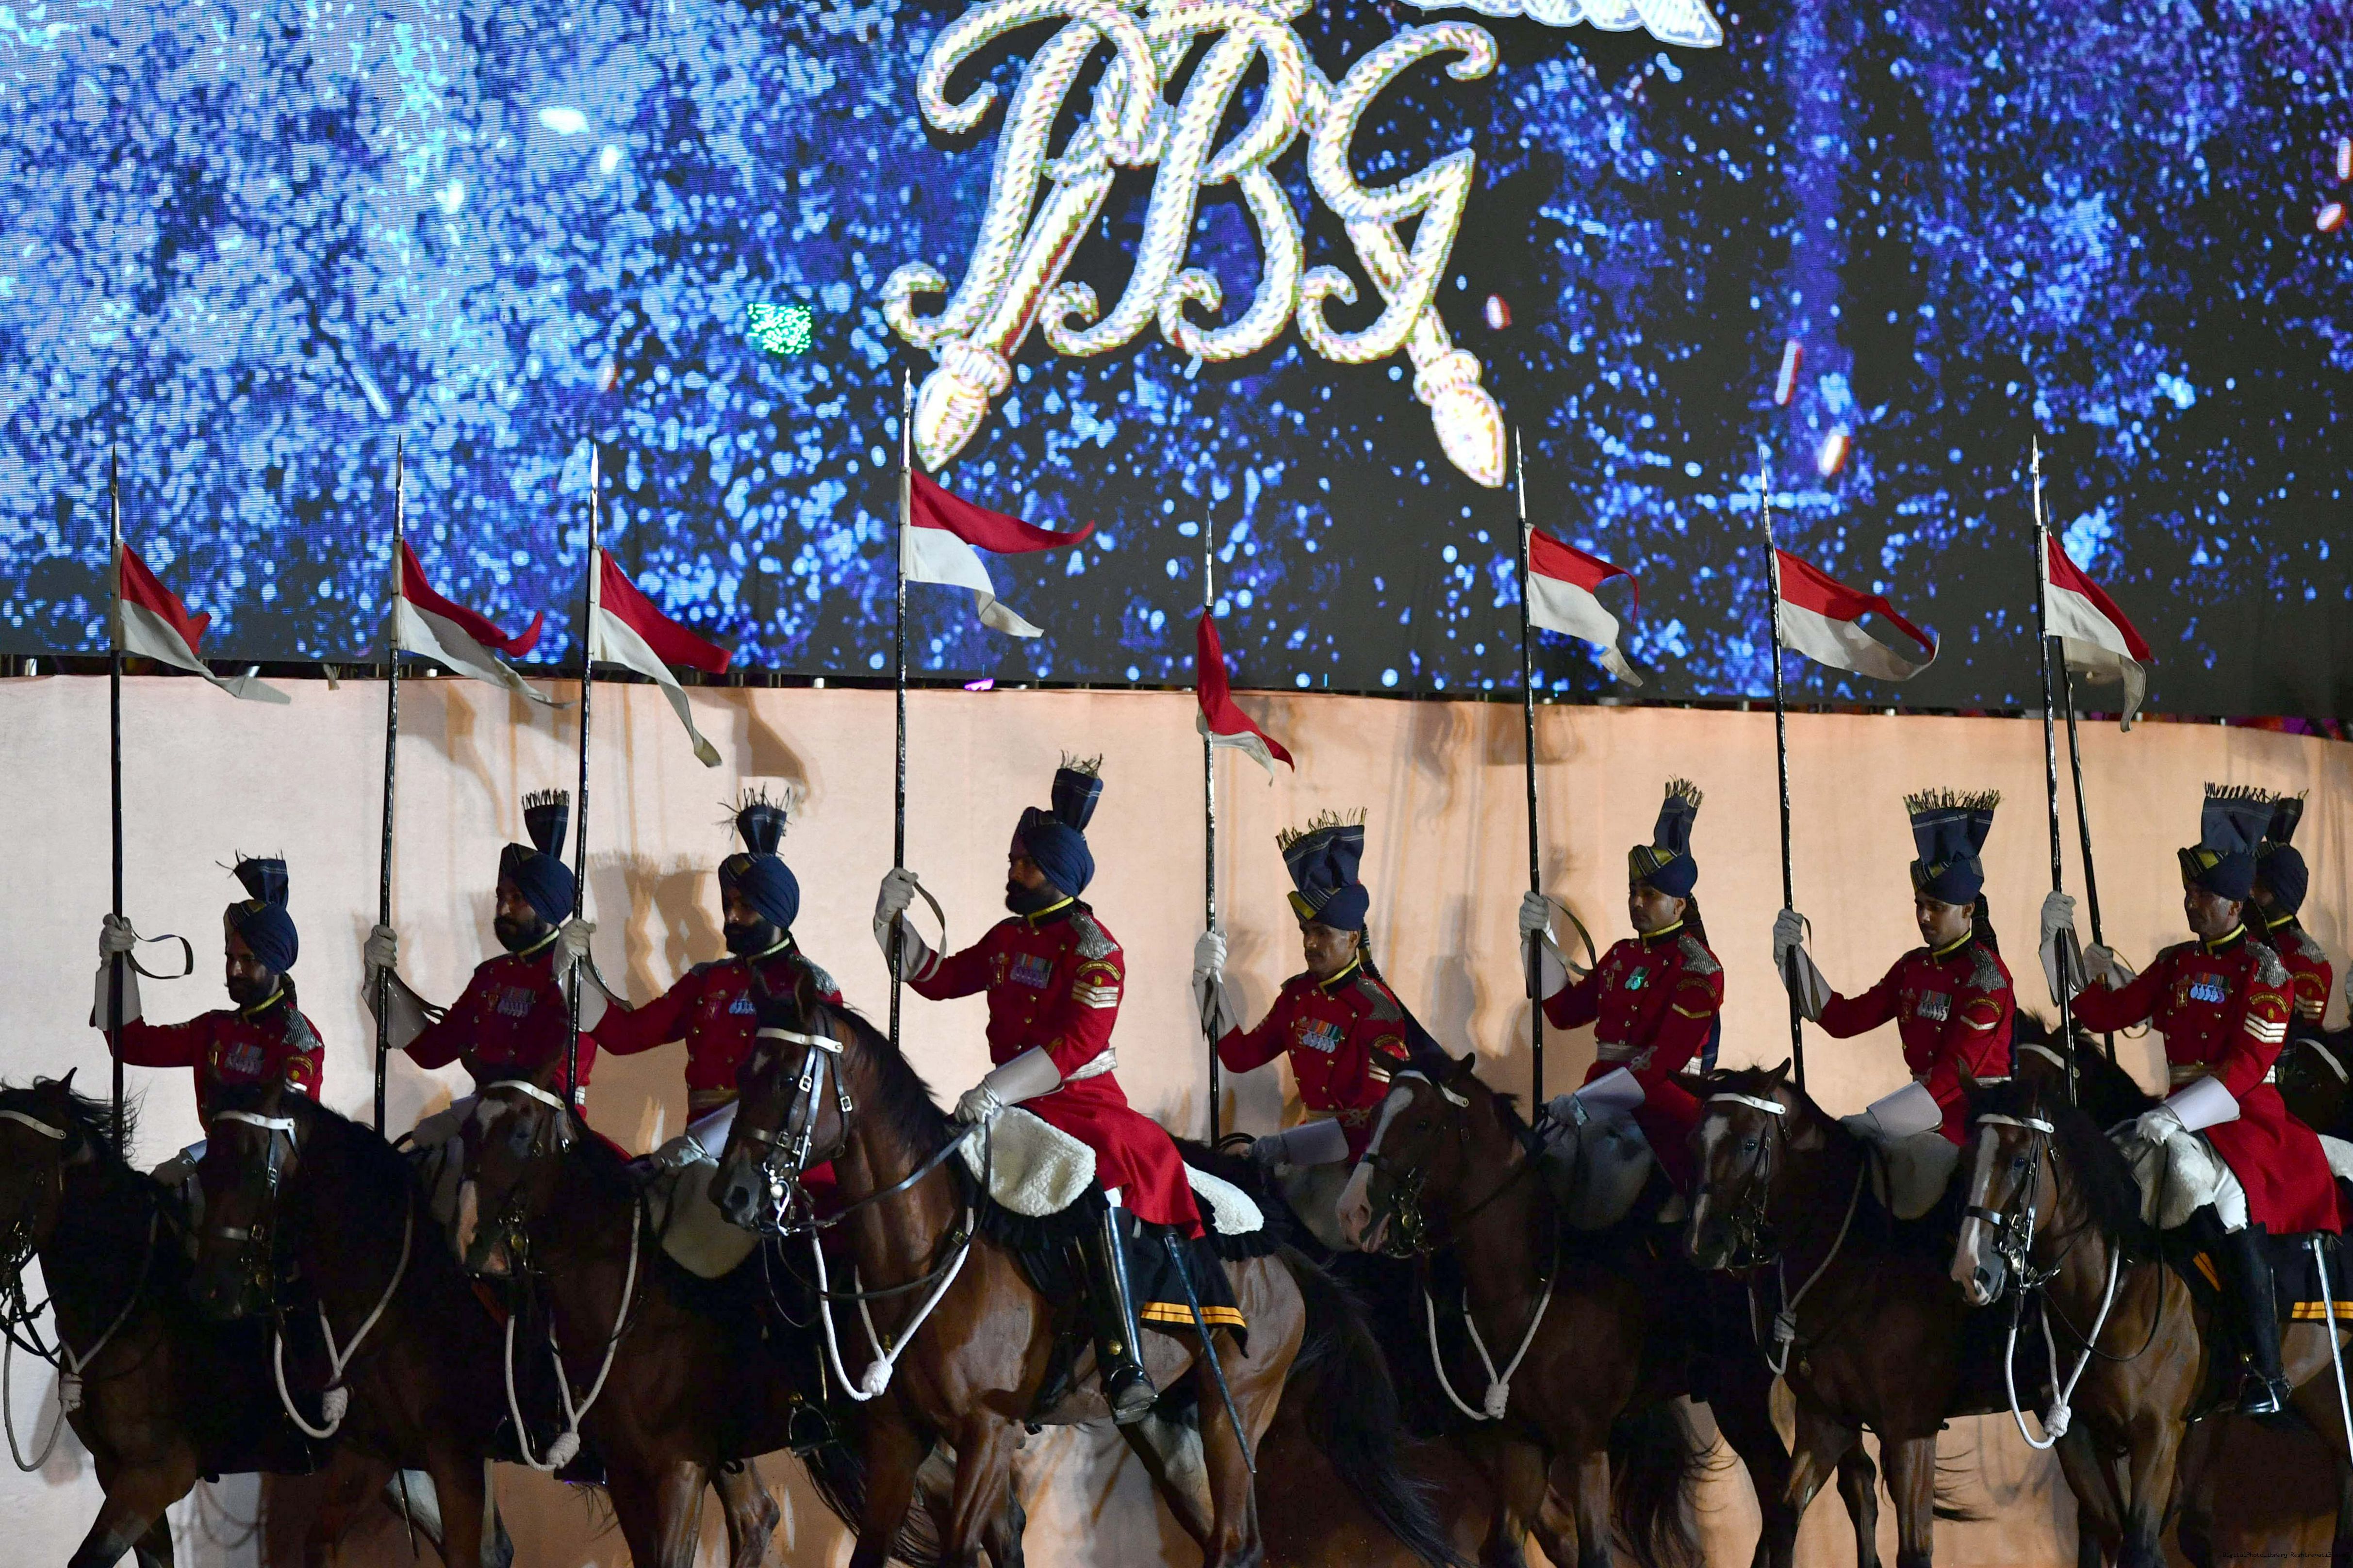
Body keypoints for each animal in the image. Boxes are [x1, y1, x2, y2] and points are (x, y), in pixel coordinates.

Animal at [189, 1080, 522, 1568]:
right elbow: (320, 1543)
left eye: (251, 1163)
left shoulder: (456, 1459)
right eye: (205, 1168)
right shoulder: (376, 1453)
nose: (211, 1293)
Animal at [708, 970, 1454, 1568]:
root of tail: (1279, 1255)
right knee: (1230, 1540)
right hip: (1170, 1427)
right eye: (742, 1075)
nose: (733, 1194)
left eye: (787, 1077)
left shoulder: (987, 1434)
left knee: (1235, 1542)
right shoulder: (898, 1441)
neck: (925, 1250)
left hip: (1235, 1408)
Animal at [1333, 1053, 1886, 1568]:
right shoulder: (1519, 1445)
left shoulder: (1585, 1445)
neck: (1527, 1285)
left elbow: (1593, 1551)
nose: (1353, 1211)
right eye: (1377, 1114)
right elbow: (1508, 1547)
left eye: (1423, 1123)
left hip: (1746, 1396)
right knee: (1818, 1486)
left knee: (1793, 1494)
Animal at [1686, 1063, 2004, 1568]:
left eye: (1750, 1144)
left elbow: (1913, 1549)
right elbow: (1786, 1514)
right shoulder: (1827, 1419)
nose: (1702, 1245)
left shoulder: (1910, 1427)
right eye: (1693, 1144)